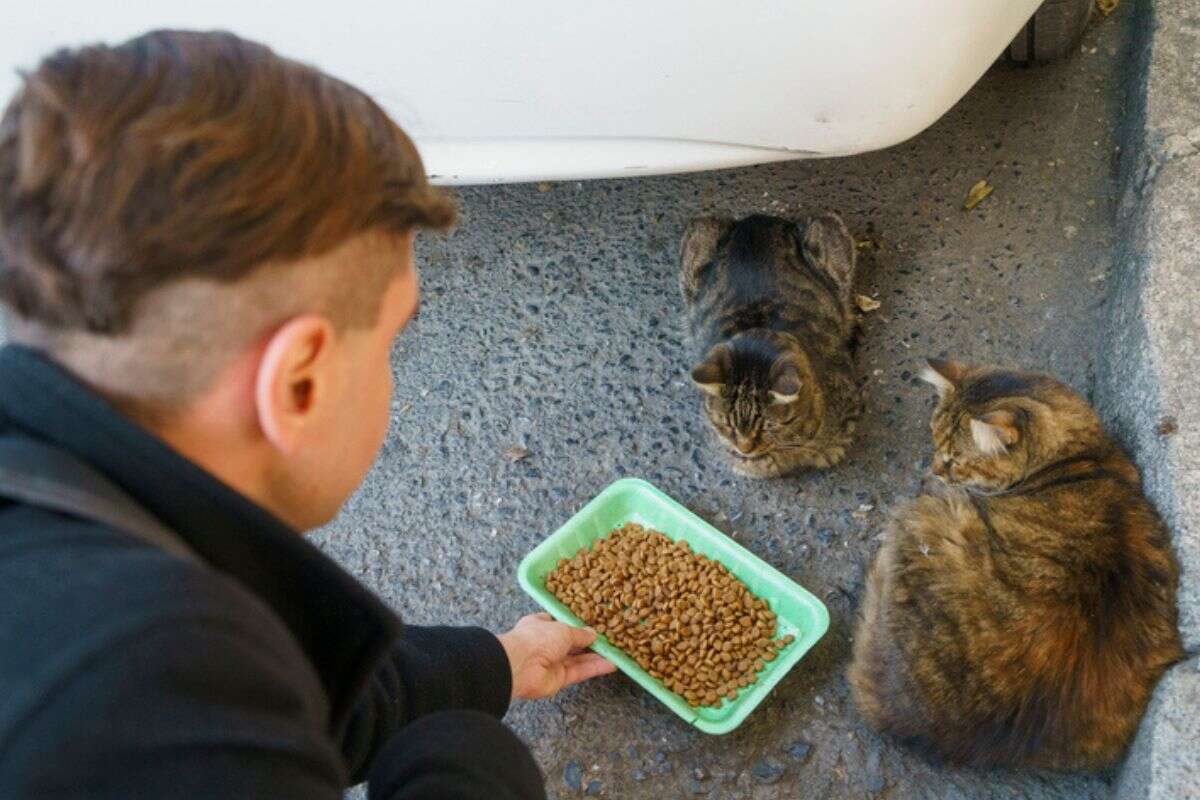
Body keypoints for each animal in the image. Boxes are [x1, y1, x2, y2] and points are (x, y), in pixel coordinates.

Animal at [676, 212, 864, 479]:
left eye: (768, 426)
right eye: (725, 424)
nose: (744, 447)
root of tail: (757, 219)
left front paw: (827, 450)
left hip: (829, 231)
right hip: (699, 234)